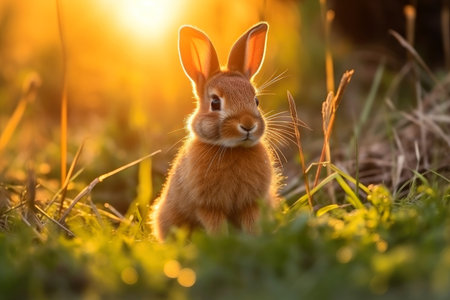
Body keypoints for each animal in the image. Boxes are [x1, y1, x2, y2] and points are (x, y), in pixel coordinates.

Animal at [151, 21, 280, 241]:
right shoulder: (208, 206)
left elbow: (251, 223)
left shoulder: (251, 204)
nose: (248, 125)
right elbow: (216, 226)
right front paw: (222, 243)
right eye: (215, 103)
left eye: (256, 100)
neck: (232, 149)